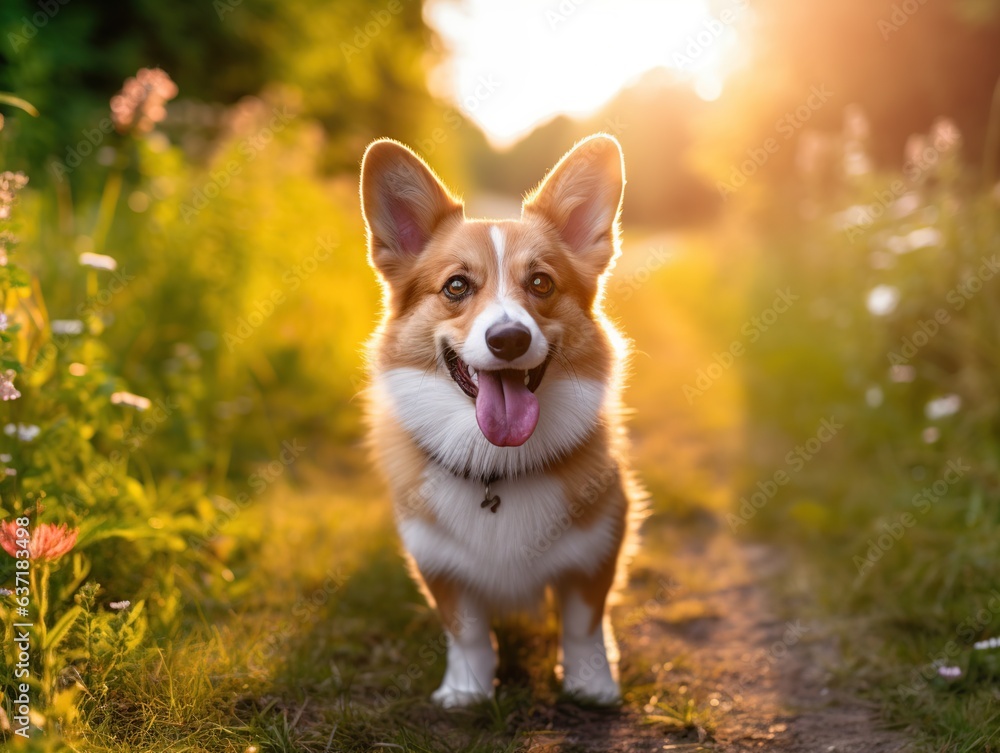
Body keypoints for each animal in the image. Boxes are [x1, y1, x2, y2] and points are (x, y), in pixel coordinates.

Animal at [360, 134, 640, 704]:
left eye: (541, 282)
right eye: (456, 287)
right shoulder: (437, 561)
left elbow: (584, 624)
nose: (508, 339)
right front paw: (466, 693)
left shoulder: (600, 543)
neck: (496, 462)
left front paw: (591, 686)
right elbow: (466, 632)